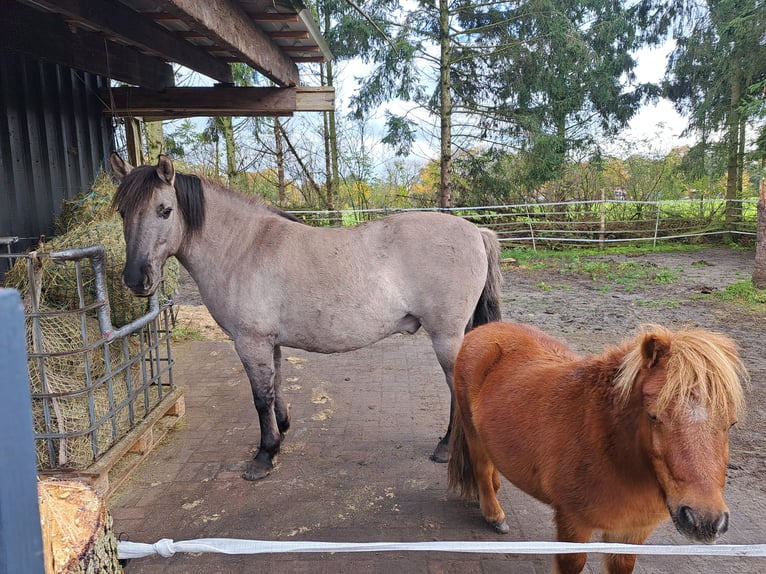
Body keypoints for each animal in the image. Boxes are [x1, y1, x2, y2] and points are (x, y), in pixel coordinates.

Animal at [109, 153, 502, 481]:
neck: (243, 247)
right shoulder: (269, 343)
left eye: (164, 210)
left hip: (446, 336)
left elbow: (260, 397)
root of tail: (474, 231)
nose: (135, 279)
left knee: (457, 386)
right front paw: (280, 431)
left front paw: (264, 456)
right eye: (122, 212)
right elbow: (275, 387)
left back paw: (445, 447)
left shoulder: (250, 342)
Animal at [448, 321, 748, 574]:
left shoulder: (631, 533)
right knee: (481, 469)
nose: (704, 520)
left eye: (731, 423)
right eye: (653, 416)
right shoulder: (573, 523)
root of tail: (483, 330)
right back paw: (494, 514)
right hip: (473, 434)